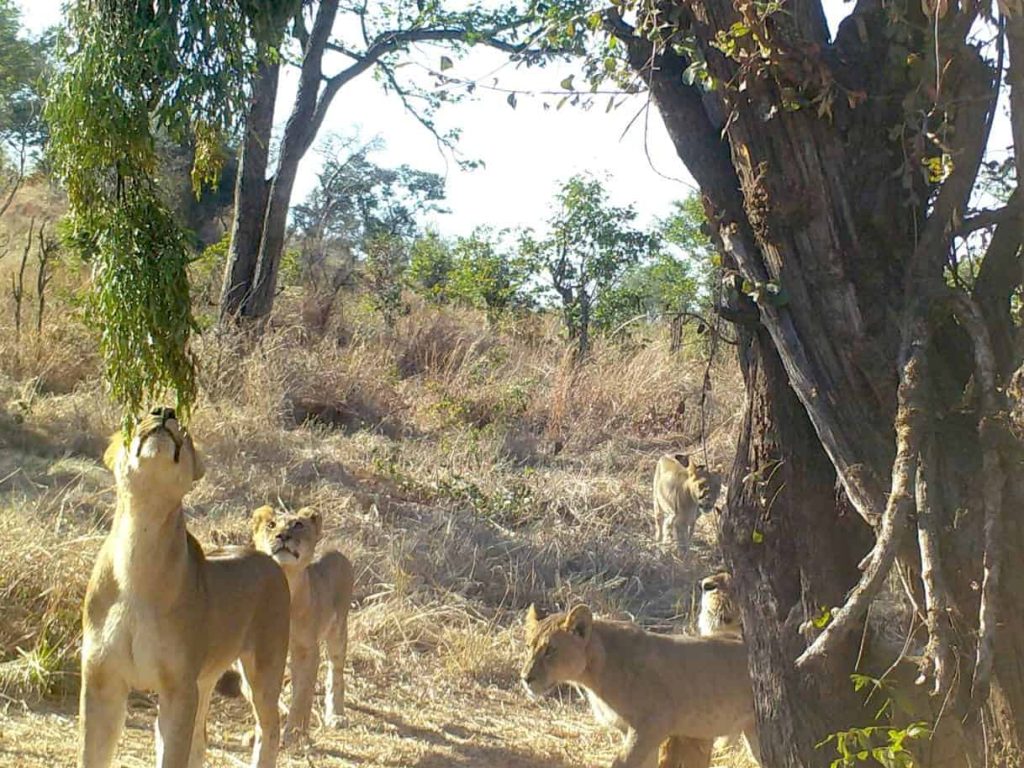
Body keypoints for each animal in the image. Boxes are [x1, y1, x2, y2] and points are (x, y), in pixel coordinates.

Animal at [79, 407, 290, 768]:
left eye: (186, 429)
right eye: (142, 414)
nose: (164, 410)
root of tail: (265, 558)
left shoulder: (178, 689)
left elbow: (173, 753)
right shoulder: (102, 679)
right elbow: (91, 755)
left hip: (262, 672)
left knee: (269, 729)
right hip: (205, 680)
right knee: (201, 740)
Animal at [251, 505, 354, 740]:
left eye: (298, 524)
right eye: (271, 525)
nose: (282, 536)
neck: (287, 581)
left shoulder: (307, 649)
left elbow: (303, 693)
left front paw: (294, 732)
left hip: (338, 629)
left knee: (335, 671)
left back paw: (336, 715)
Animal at [520, 603, 760, 768]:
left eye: (550, 650)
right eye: (529, 647)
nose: (525, 678)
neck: (594, 672)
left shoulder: (653, 725)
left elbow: (621, 763)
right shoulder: (631, 731)